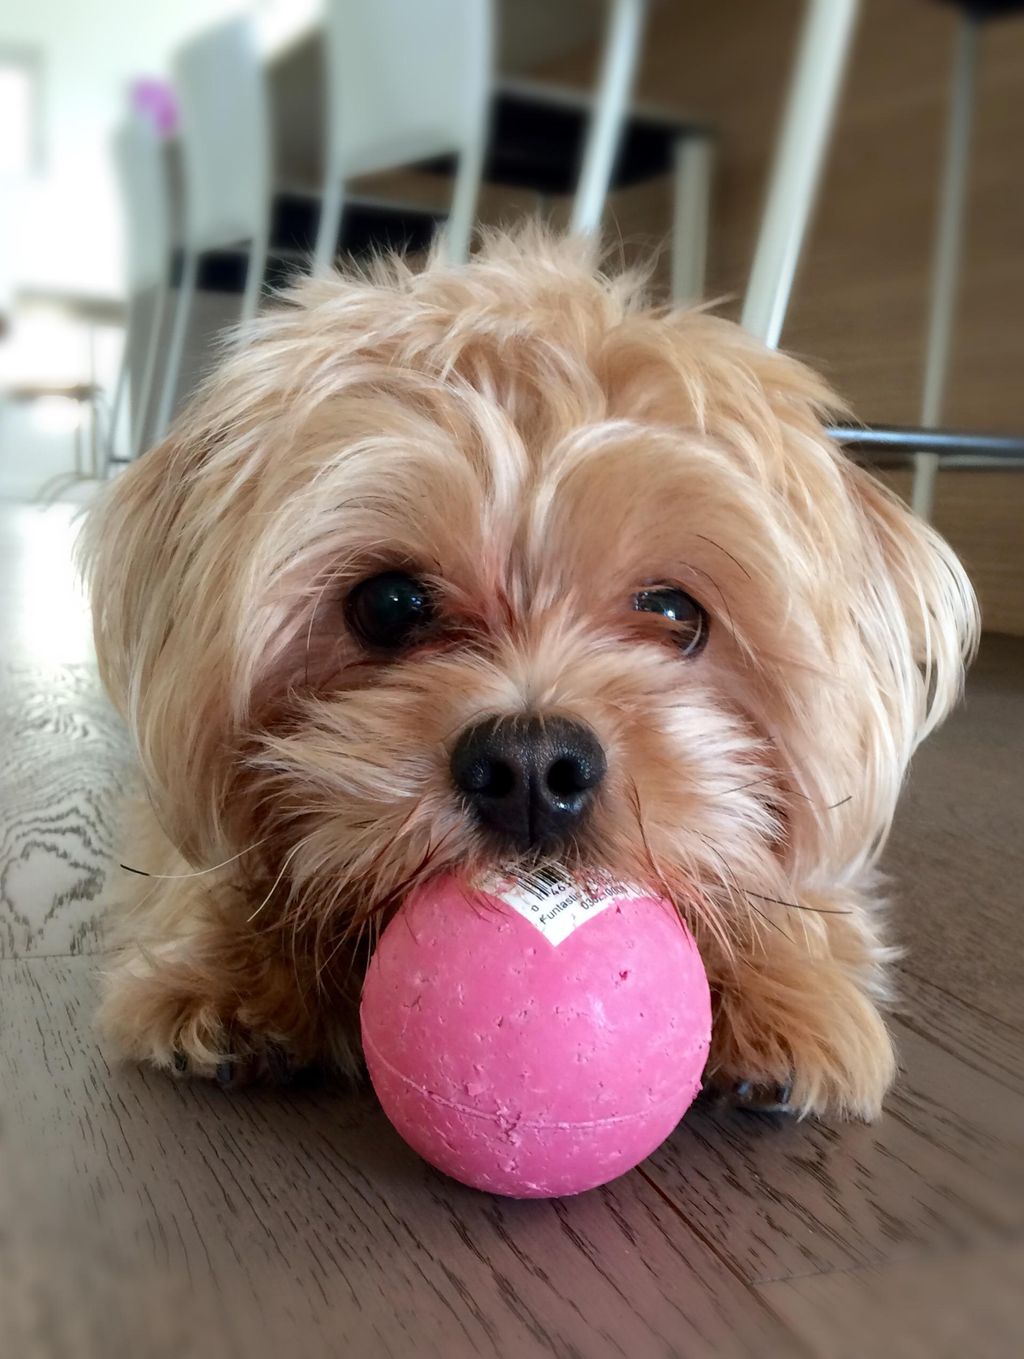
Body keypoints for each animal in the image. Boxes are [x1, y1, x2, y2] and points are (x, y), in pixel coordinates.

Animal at [83, 231, 979, 1114]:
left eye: (674, 612)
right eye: (389, 603)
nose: (530, 764)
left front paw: (781, 978)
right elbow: (205, 864)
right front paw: (233, 962)